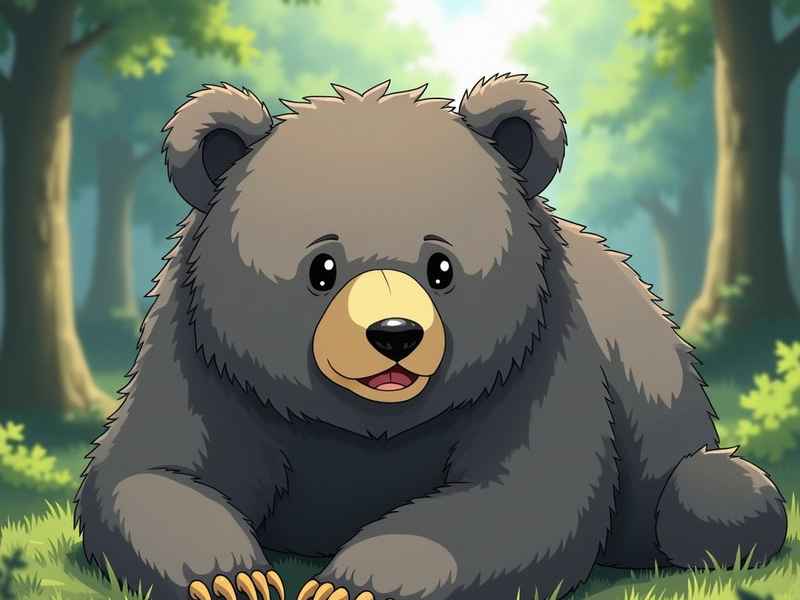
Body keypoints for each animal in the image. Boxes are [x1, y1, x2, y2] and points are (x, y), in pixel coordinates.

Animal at [74, 75, 788, 600]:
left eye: (441, 266)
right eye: (322, 268)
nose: (395, 334)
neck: (364, 424)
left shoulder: (536, 357)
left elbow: (527, 496)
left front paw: (351, 584)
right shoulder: (205, 360)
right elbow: (147, 469)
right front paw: (235, 578)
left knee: (713, 499)